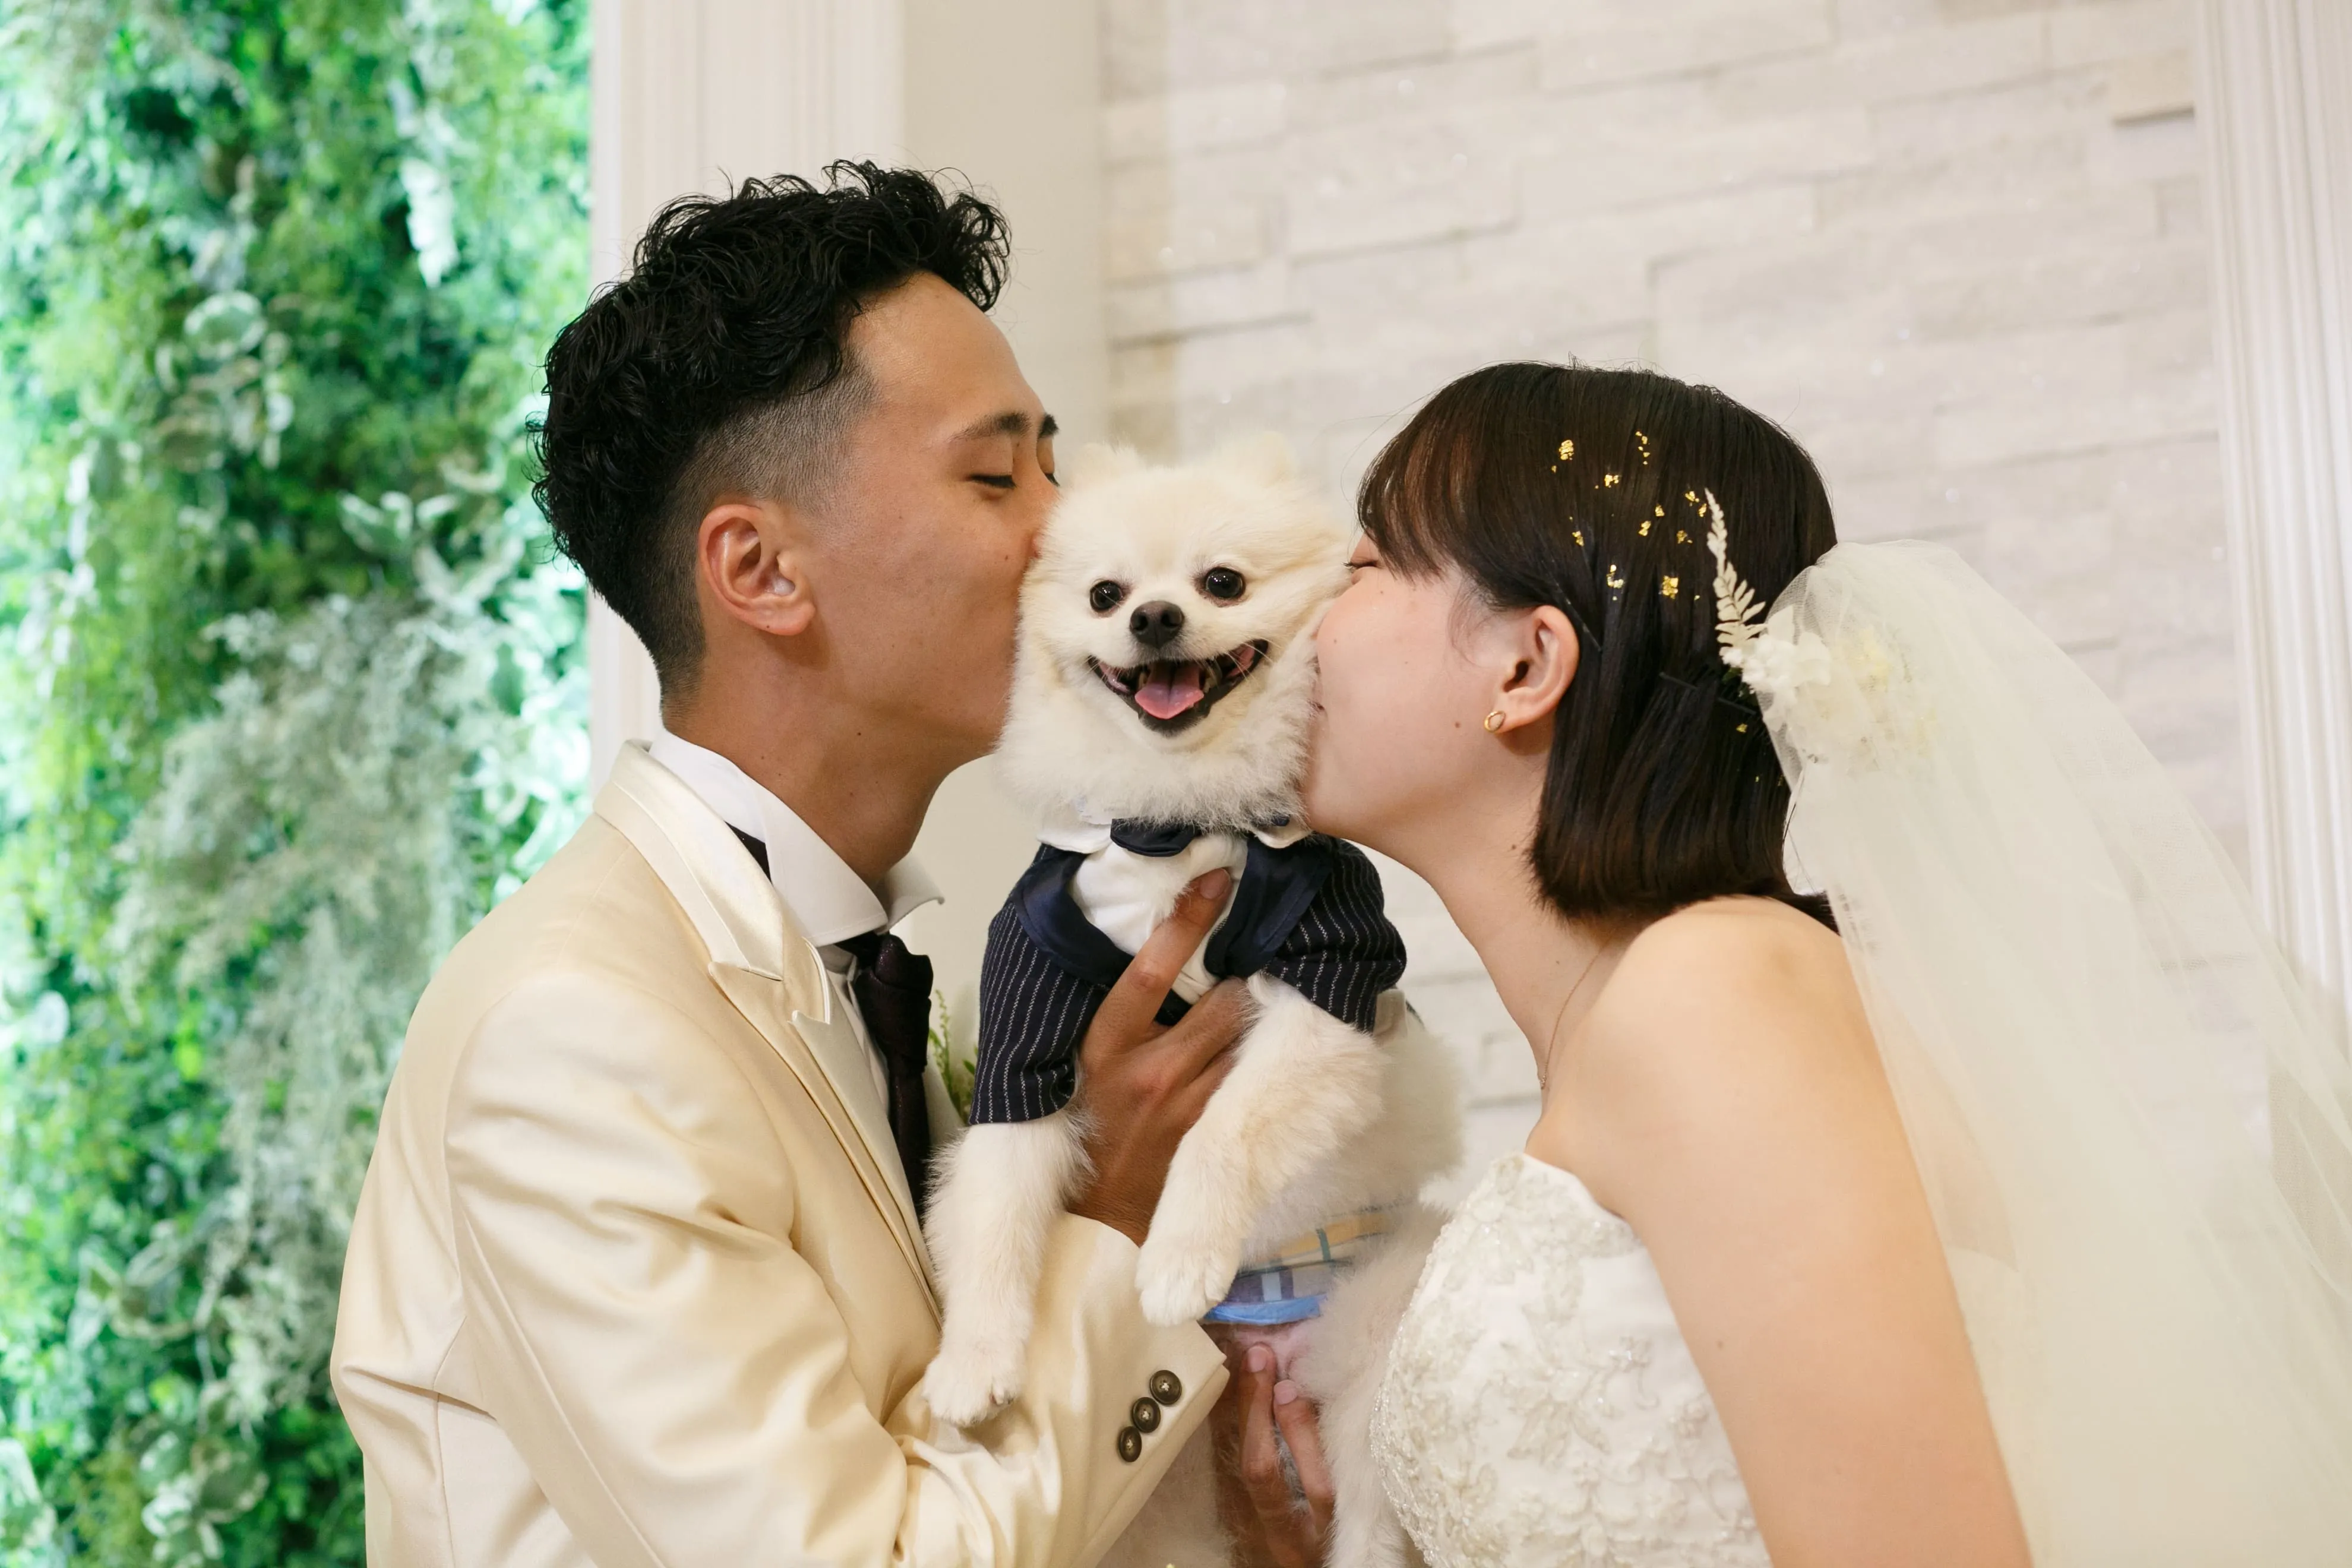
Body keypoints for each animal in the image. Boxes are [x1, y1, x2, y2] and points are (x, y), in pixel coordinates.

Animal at [922, 435, 1461, 1567]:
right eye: (1105, 595)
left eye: (1222, 583)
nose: (1156, 619)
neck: (1172, 827)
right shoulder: (1029, 1017)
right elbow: (996, 1206)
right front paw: (975, 1361)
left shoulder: (1329, 973)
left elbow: (1223, 1132)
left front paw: (1177, 1256)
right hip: (1155, 1514)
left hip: (1377, 1350)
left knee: (1367, 1512)